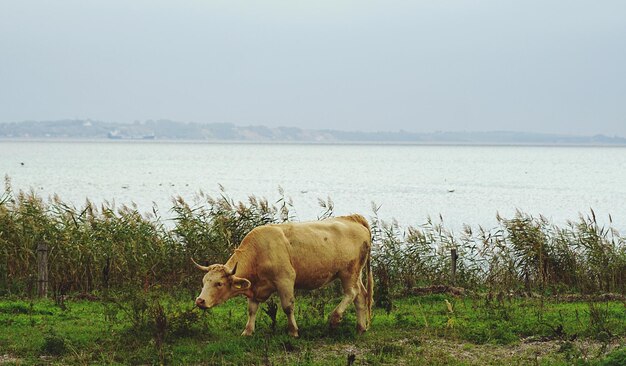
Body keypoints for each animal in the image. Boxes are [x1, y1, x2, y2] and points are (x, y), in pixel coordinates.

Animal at [193, 214, 372, 338]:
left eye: (219, 283)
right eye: (204, 281)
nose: (200, 301)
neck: (259, 251)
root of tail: (353, 218)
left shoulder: (285, 280)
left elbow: (287, 307)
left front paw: (293, 331)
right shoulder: (255, 287)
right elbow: (251, 309)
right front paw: (247, 331)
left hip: (348, 272)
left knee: (351, 293)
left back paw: (335, 318)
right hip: (356, 273)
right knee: (360, 296)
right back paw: (361, 328)